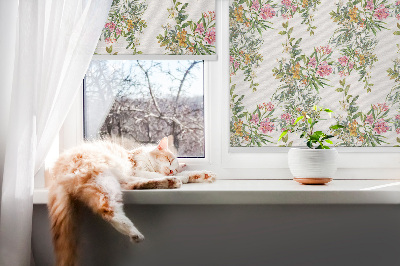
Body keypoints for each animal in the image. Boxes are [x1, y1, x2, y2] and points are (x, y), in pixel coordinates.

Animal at [47, 137, 216, 266]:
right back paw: (134, 232)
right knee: (107, 209)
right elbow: (153, 174)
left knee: (134, 186)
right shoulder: (137, 169)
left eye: (174, 166)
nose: (171, 171)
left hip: (114, 181)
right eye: (169, 160)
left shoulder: (135, 174)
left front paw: (203, 175)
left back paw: (170, 182)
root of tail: (56, 172)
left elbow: (185, 174)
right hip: (103, 178)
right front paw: (182, 176)